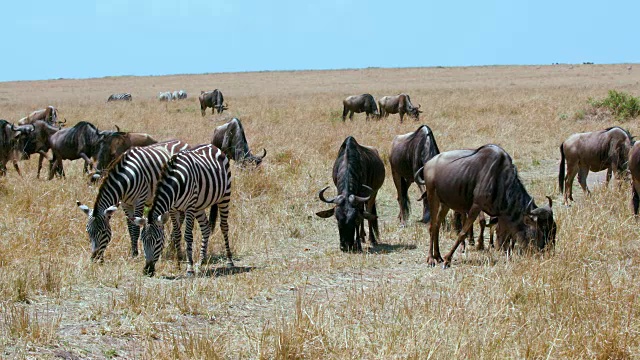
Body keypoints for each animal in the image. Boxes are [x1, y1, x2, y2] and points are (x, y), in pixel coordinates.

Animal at [134, 143, 234, 276]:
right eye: (142, 240)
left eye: (158, 241)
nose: (147, 271)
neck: (176, 182)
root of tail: (213, 146)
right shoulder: (172, 209)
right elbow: (177, 234)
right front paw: (178, 263)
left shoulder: (189, 207)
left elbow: (188, 236)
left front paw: (189, 267)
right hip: (199, 206)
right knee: (206, 227)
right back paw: (201, 260)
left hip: (225, 195)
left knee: (224, 226)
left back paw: (229, 261)